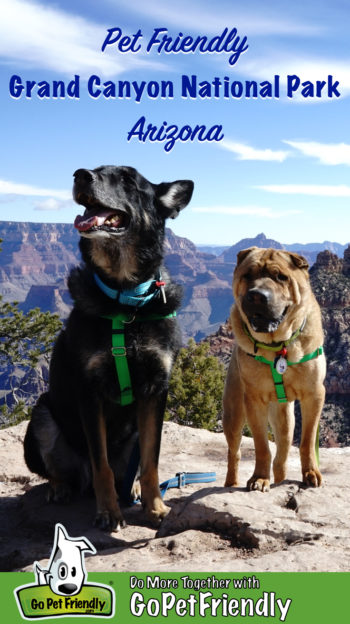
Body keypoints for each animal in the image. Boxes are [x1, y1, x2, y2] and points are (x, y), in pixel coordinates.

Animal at [23, 165, 194, 532]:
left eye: (129, 180)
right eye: (96, 169)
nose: (80, 175)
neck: (126, 301)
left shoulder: (156, 390)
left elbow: (151, 460)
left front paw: (155, 507)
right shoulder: (90, 391)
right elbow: (100, 463)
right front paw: (109, 513)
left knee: (128, 469)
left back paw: (131, 488)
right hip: (42, 415)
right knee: (62, 471)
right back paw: (61, 487)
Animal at [223, 246, 326, 490]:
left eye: (281, 277)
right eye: (247, 275)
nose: (257, 295)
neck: (278, 346)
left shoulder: (314, 395)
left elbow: (307, 441)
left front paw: (310, 472)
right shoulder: (253, 400)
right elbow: (261, 446)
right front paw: (259, 477)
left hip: (285, 419)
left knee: (282, 454)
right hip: (232, 413)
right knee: (234, 452)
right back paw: (231, 483)